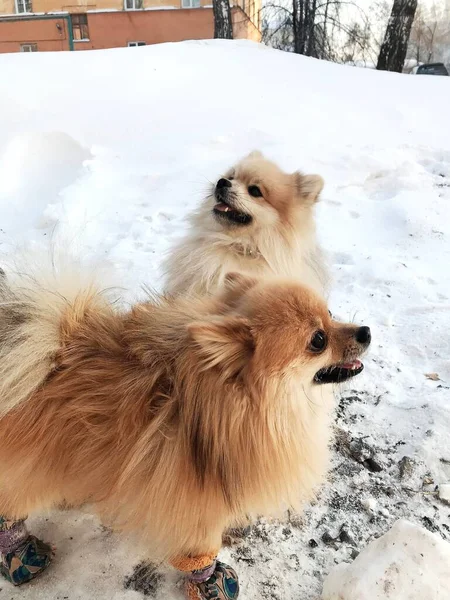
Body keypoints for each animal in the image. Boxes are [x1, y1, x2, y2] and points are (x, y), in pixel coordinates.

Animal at [0, 264, 370, 596]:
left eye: (330, 312)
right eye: (317, 340)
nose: (366, 331)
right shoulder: (193, 503)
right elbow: (199, 551)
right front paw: (209, 582)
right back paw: (22, 554)